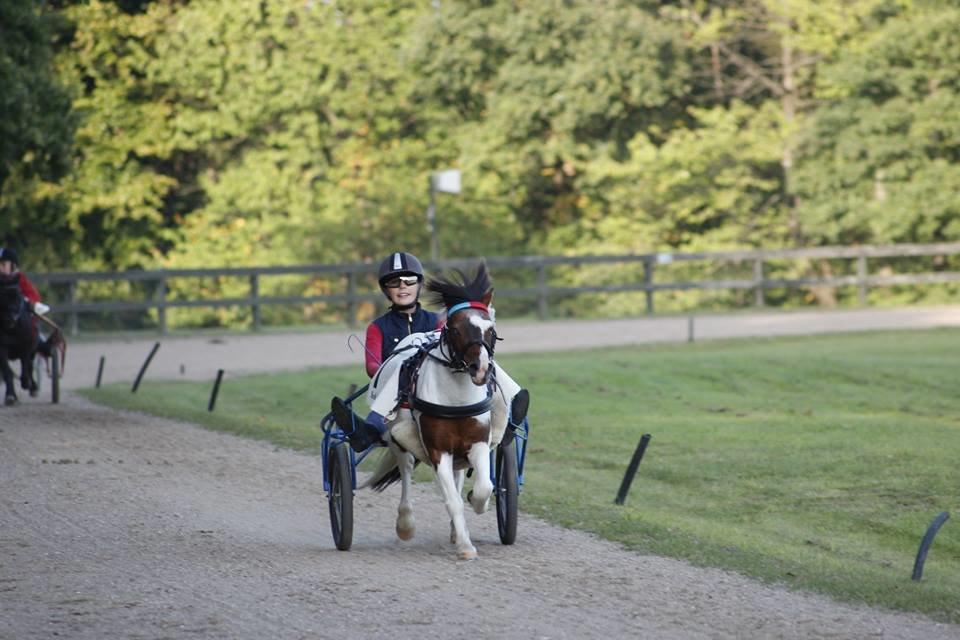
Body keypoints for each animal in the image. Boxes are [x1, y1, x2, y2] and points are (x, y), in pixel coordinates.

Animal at [0, 274, 38, 404]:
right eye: (3, 296)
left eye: (19, 295)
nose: (13, 318)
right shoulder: (2, 350)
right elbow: (7, 372)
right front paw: (10, 395)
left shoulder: (25, 347)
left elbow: (26, 367)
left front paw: (26, 383)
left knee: (30, 366)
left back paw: (33, 387)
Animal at [364, 262, 502, 560]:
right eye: (456, 328)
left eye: (490, 328)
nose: (481, 370)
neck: (456, 399)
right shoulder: (438, 450)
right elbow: (451, 500)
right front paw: (465, 547)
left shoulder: (477, 442)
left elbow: (483, 486)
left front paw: (476, 504)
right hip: (398, 438)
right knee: (405, 471)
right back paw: (406, 524)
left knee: (459, 476)